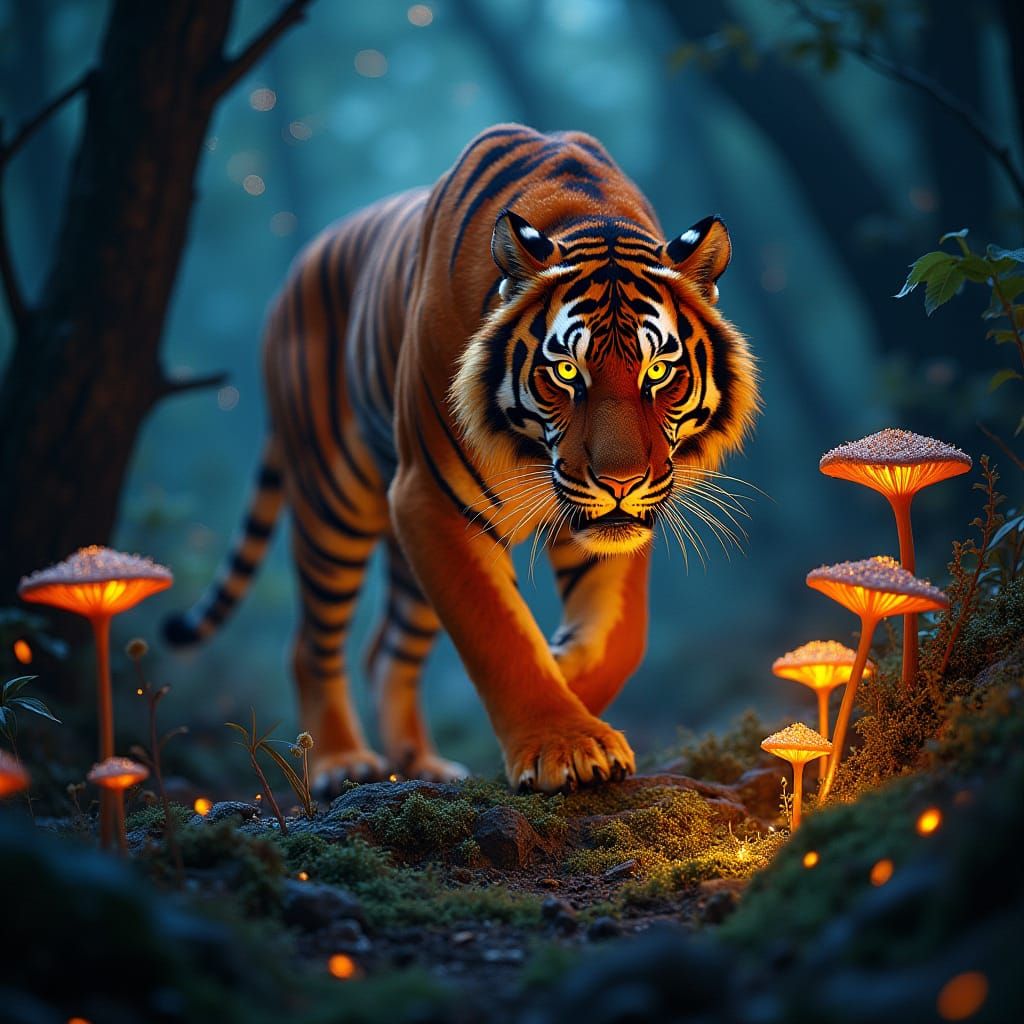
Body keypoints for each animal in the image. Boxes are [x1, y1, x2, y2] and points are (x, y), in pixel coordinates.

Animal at [165, 123, 759, 796]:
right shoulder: (429, 499)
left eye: (658, 372)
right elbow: (499, 634)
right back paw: (342, 764)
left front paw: (570, 679)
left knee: (386, 649)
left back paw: (418, 764)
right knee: (310, 644)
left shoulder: (606, 526)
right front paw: (564, 743)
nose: (621, 481)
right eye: (566, 371)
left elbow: (621, 638)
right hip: (334, 498)